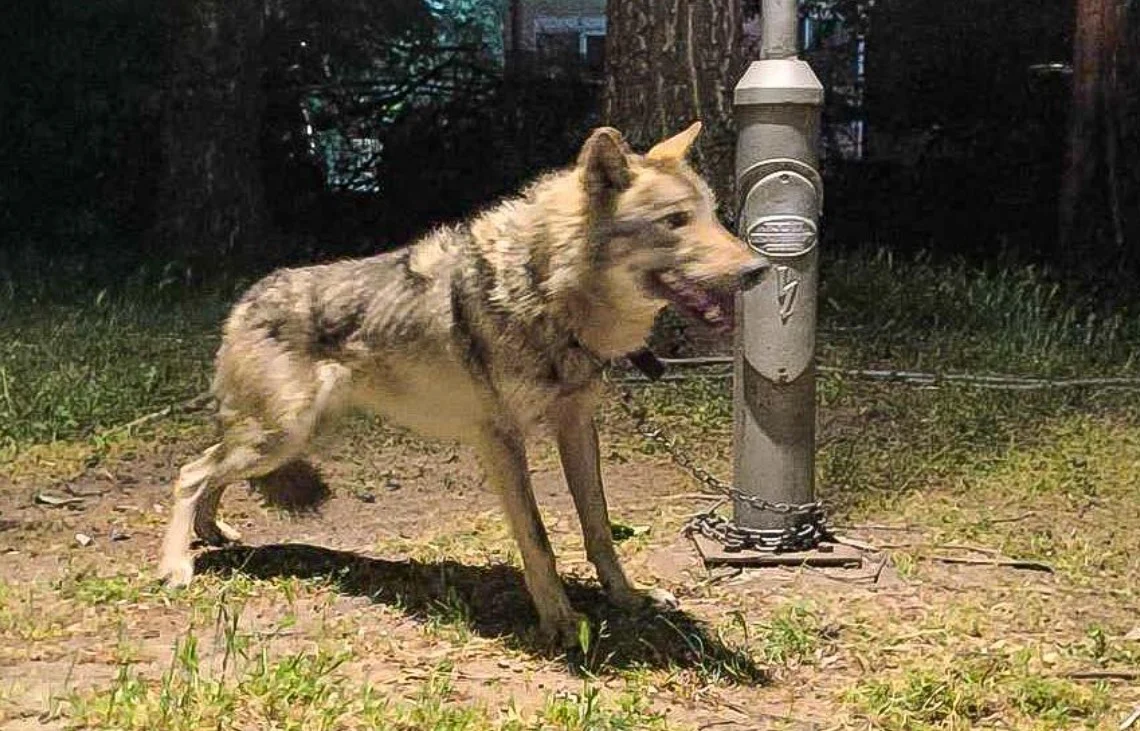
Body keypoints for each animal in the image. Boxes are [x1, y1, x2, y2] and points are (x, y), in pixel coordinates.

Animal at [158, 121, 768, 646]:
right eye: (675, 221)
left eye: (714, 216)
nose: (759, 269)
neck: (545, 293)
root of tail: (244, 299)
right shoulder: (500, 440)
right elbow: (538, 539)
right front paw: (561, 623)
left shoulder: (577, 425)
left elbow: (597, 525)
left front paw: (628, 599)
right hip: (281, 437)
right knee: (191, 471)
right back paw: (177, 564)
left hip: (289, 439)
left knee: (210, 470)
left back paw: (213, 534)